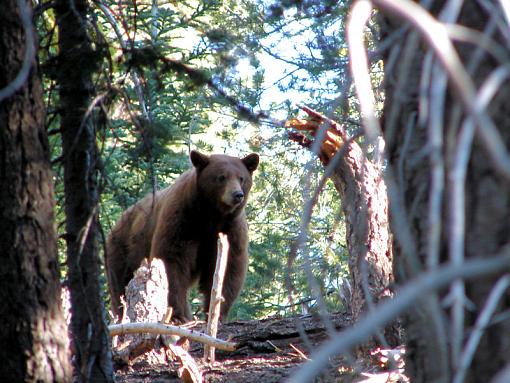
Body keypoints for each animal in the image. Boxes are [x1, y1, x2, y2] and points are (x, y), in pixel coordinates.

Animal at [106, 152, 258, 322]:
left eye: (241, 178)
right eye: (221, 177)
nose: (237, 195)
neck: (211, 215)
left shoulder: (230, 229)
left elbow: (229, 265)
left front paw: (216, 313)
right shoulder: (183, 220)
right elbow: (172, 260)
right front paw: (176, 316)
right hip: (122, 248)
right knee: (120, 284)